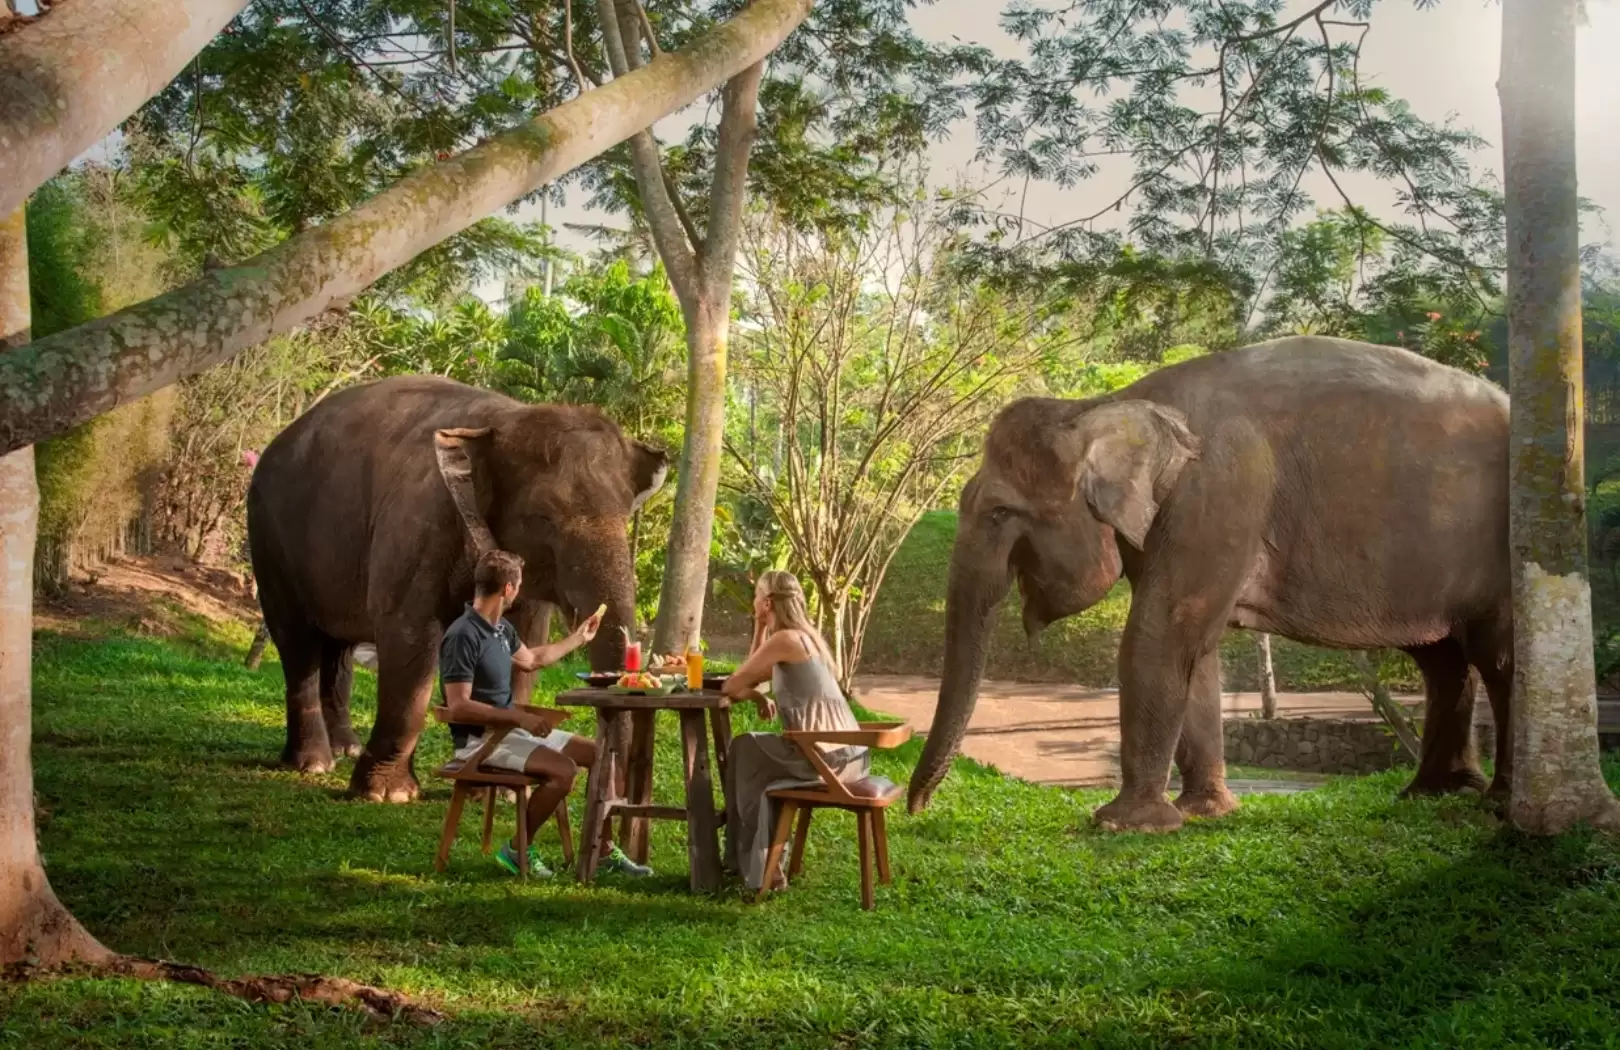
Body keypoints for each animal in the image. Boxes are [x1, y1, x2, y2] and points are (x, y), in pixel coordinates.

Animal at [247, 375, 667, 801]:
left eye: (625, 516)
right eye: (543, 517)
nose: (616, 794)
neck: (507, 419)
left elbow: (524, 649)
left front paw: (496, 787)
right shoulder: (419, 525)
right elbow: (409, 639)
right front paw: (388, 794)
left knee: (339, 646)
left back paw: (344, 748)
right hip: (269, 540)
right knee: (298, 644)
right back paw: (313, 763)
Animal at [906, 336, 1514, 832]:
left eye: (999, 513)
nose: (915, 810)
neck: (1108, 406)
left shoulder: (1218, 490)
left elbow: (1162, 632)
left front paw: (1123, 824)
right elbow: (1197, 652)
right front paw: (1203, 812)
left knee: (1497, 656)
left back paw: (1497, 805)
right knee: (1442, 661)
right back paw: (1433, 794)